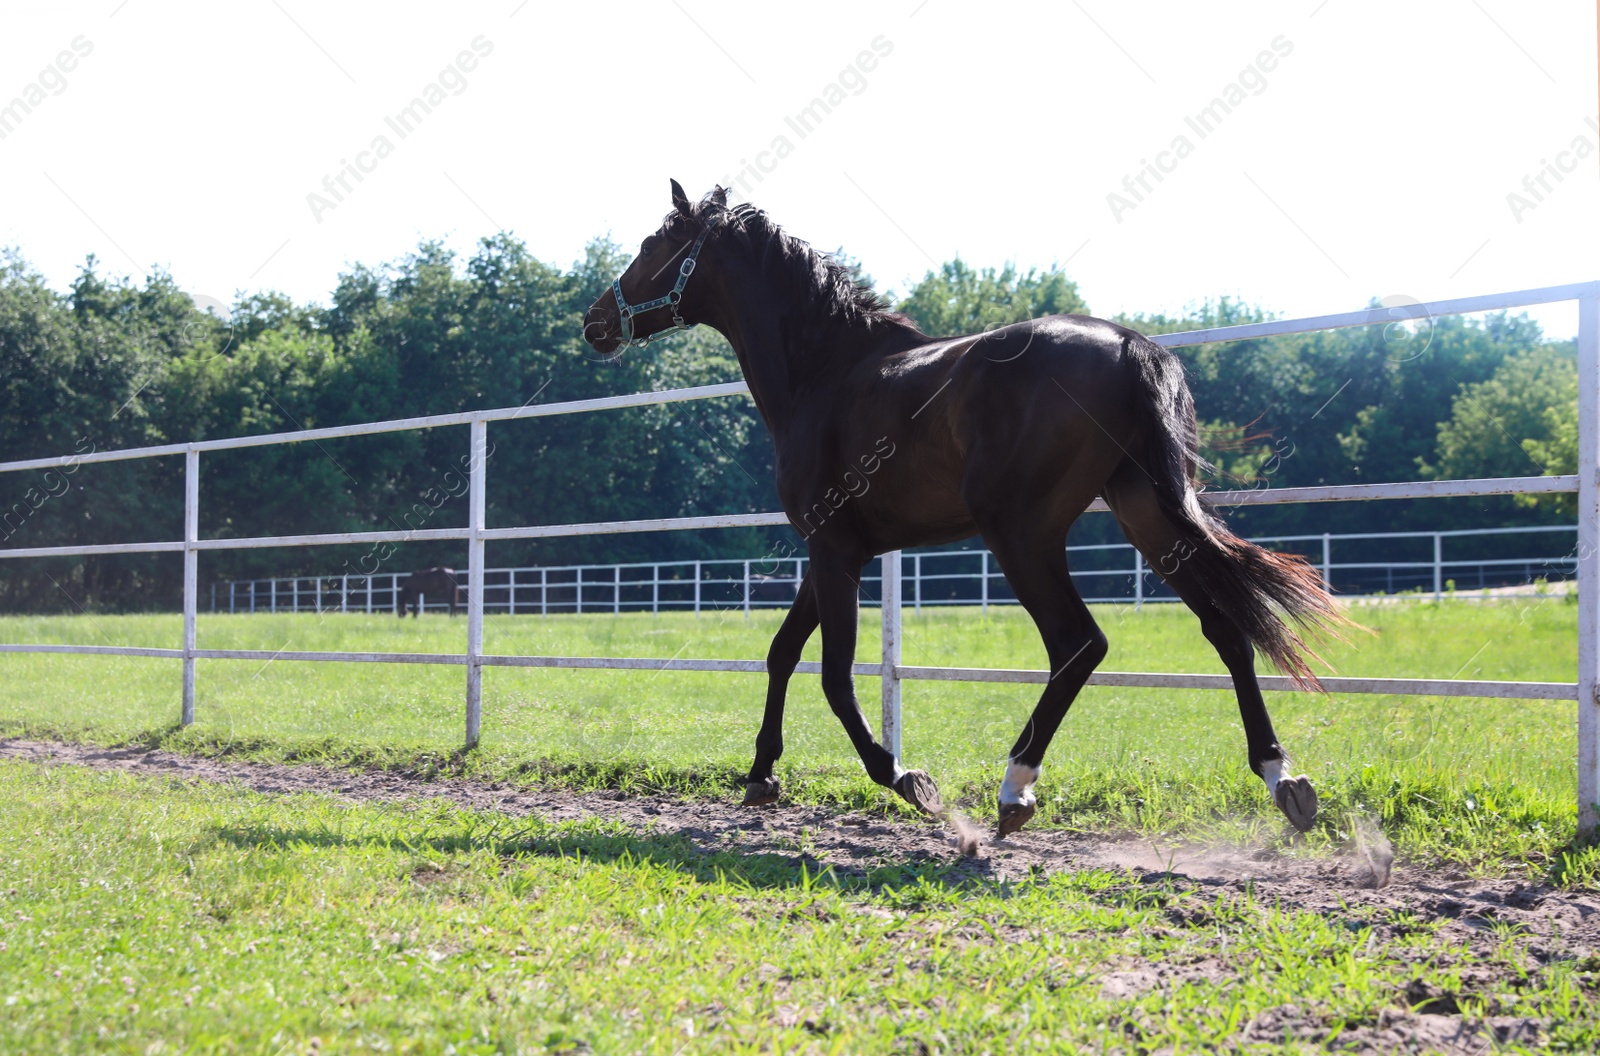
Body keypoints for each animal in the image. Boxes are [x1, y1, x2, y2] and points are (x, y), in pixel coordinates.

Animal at [582, 185, 1344, 838]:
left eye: (653, 244)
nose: (594, 322)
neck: (824, 373)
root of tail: (1131, 346)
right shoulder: (834, 550)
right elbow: (781, 653)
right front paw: (762, 776)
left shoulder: (834, 553)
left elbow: (833, 677)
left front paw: (905, 778)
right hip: (1149, 521)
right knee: (1227, 630)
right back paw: (1282, 778)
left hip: (1022, 534)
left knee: (1080, 643)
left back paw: (1015, 788)